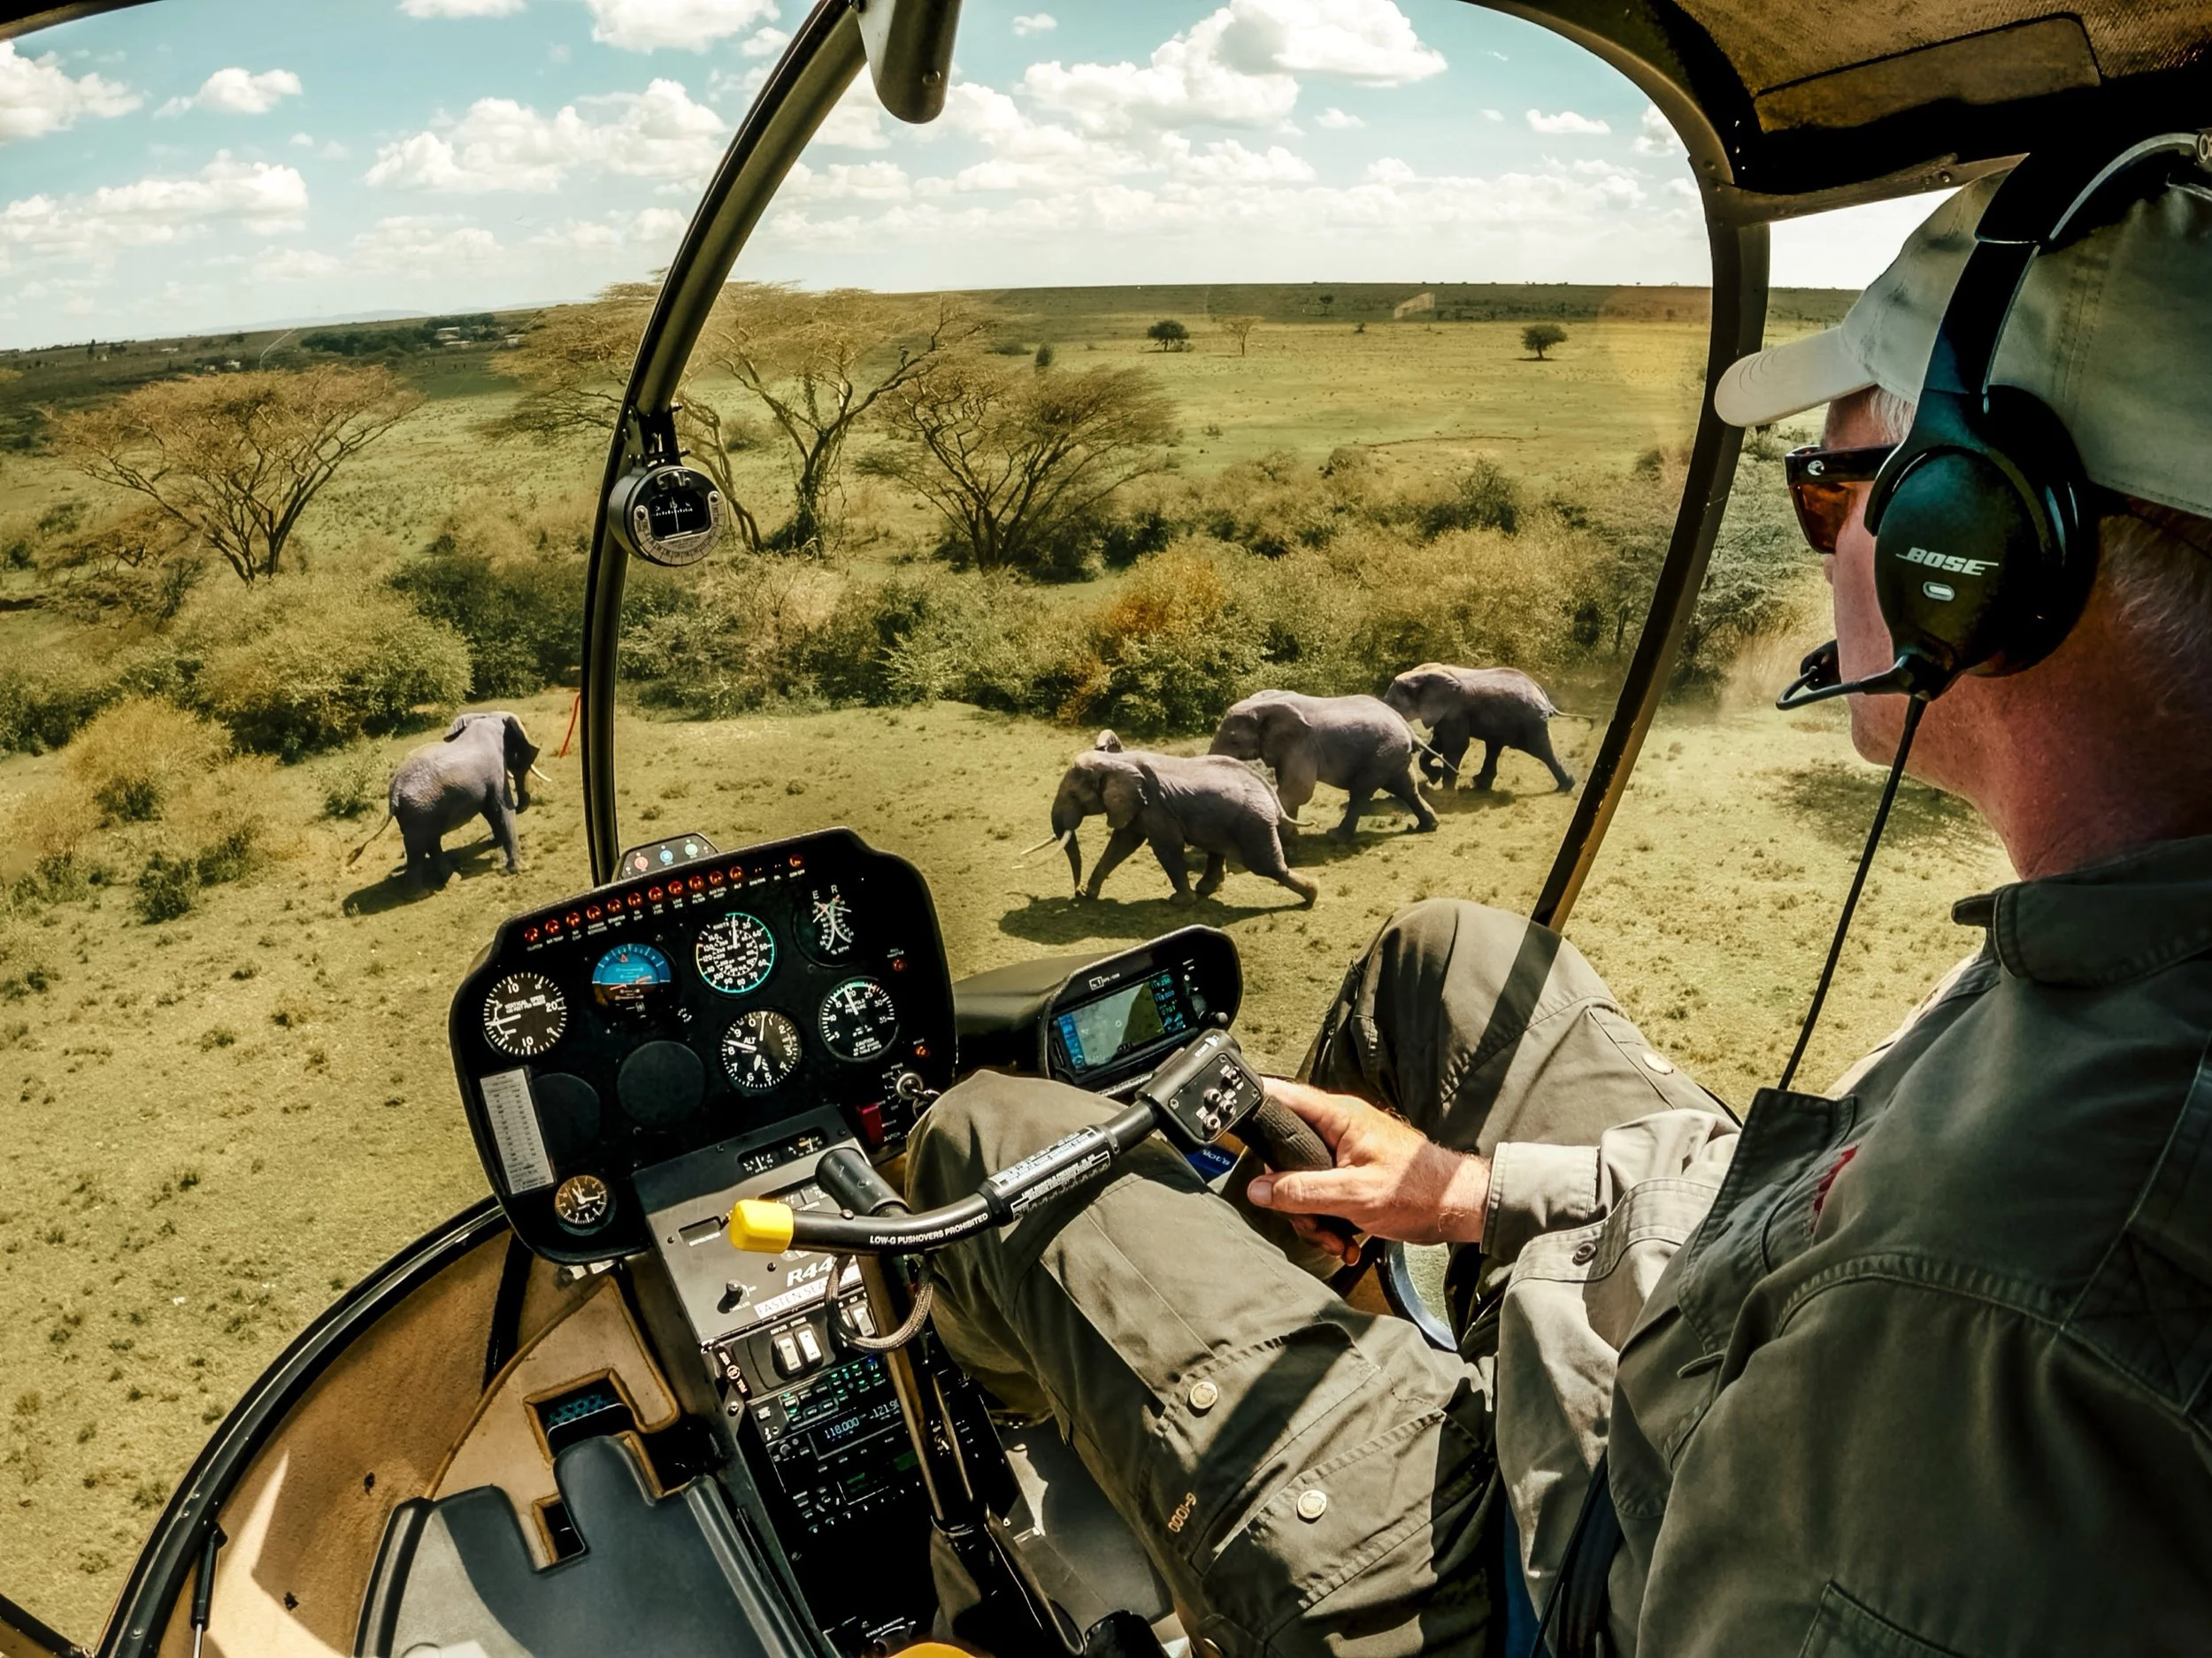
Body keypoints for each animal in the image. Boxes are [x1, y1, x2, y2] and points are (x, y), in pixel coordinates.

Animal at [348, 712, 546, 886]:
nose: (522, 806)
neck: (488, 717)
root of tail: (394, 793)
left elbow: (490, 809)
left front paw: (494, 845)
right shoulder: (495, 768)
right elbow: (503, 807)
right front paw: (523, 869)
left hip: (420, 811)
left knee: (430, 842)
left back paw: (452, 880)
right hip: (420, 810)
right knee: (418, 847)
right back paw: (419, 893)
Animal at [1025, 731, 1317, 906]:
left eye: (1074, 796)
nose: (1076, 893)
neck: (1119, 761)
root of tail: (1272, 796)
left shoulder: (1155, 806)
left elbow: (1165, 847)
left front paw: (1180, 902)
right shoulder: (1138, 807)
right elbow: (1122, 843)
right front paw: (1091, 895)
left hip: (1252, 823)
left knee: (1269, 867)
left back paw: (1312, 894)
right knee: (1221, 851)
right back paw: (1206, 890)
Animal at [1209, 690, 1437, 841]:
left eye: (1234, 741)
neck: (1265, 703)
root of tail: (1408, 728)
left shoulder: (1303, 745)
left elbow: (1298, 789)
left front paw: (1284, 838)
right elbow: (1290, 787)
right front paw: (1289, 836)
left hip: (1384, 754)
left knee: (1361, 792)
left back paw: (1336, 837)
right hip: (1393, 755)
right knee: (1406, 788)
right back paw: (1427, 827)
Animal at [1383, 663, 1576, 793]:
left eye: (1393, 704)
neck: (1422, 674)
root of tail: (1541, 692)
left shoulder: (1456, 709)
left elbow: (1455, 745)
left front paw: (1446, 792)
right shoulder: (1445, 712)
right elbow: (1438, 741)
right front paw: (1435, 777)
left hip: (1531, 721)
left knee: (1541, 750)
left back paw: (1566, 787)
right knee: (1494, 747)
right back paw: (1480, 785)